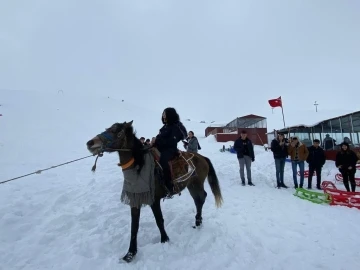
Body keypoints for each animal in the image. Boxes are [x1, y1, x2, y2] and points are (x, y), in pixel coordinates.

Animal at [87, 121, 222, 262]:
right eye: (108, 128)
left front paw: (165, 239)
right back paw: (197, 222)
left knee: (201, 198)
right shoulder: (135, 199)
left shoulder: (154, 200)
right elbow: (134, 226)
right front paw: (130, 253)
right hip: (191, 185)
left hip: (197, 184)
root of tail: (203, 158)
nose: (90, 143)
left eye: (116, 132)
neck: (139, 167)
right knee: (198, 200)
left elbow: (159, 220)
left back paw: (198, 222)